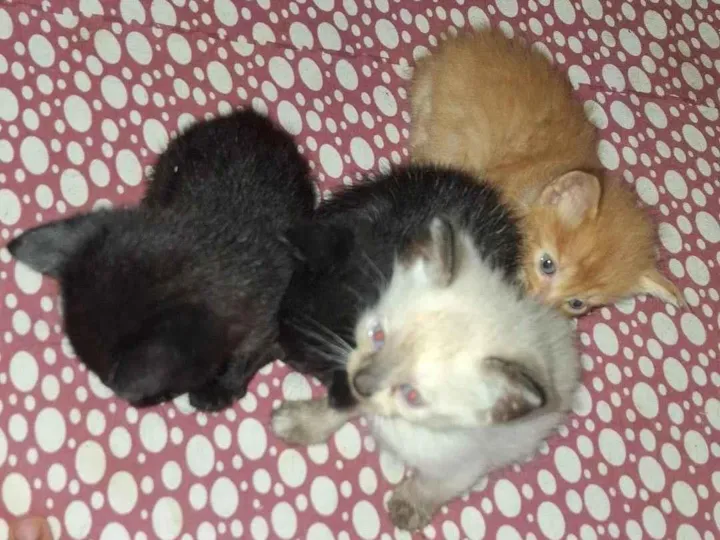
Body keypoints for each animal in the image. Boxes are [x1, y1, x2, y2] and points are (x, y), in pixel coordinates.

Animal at [7, 109, 315, 411]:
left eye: (161, 393)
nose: (140, 402)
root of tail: (253, 118)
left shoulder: (272, 318)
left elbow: (250, 355)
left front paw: (220, 389)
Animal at [271, 165, 580, 531]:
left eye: (414, 394)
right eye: (375, 334)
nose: (288, 355)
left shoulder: (468, 456)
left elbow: (443, 480)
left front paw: (411, 504)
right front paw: (302, 422)